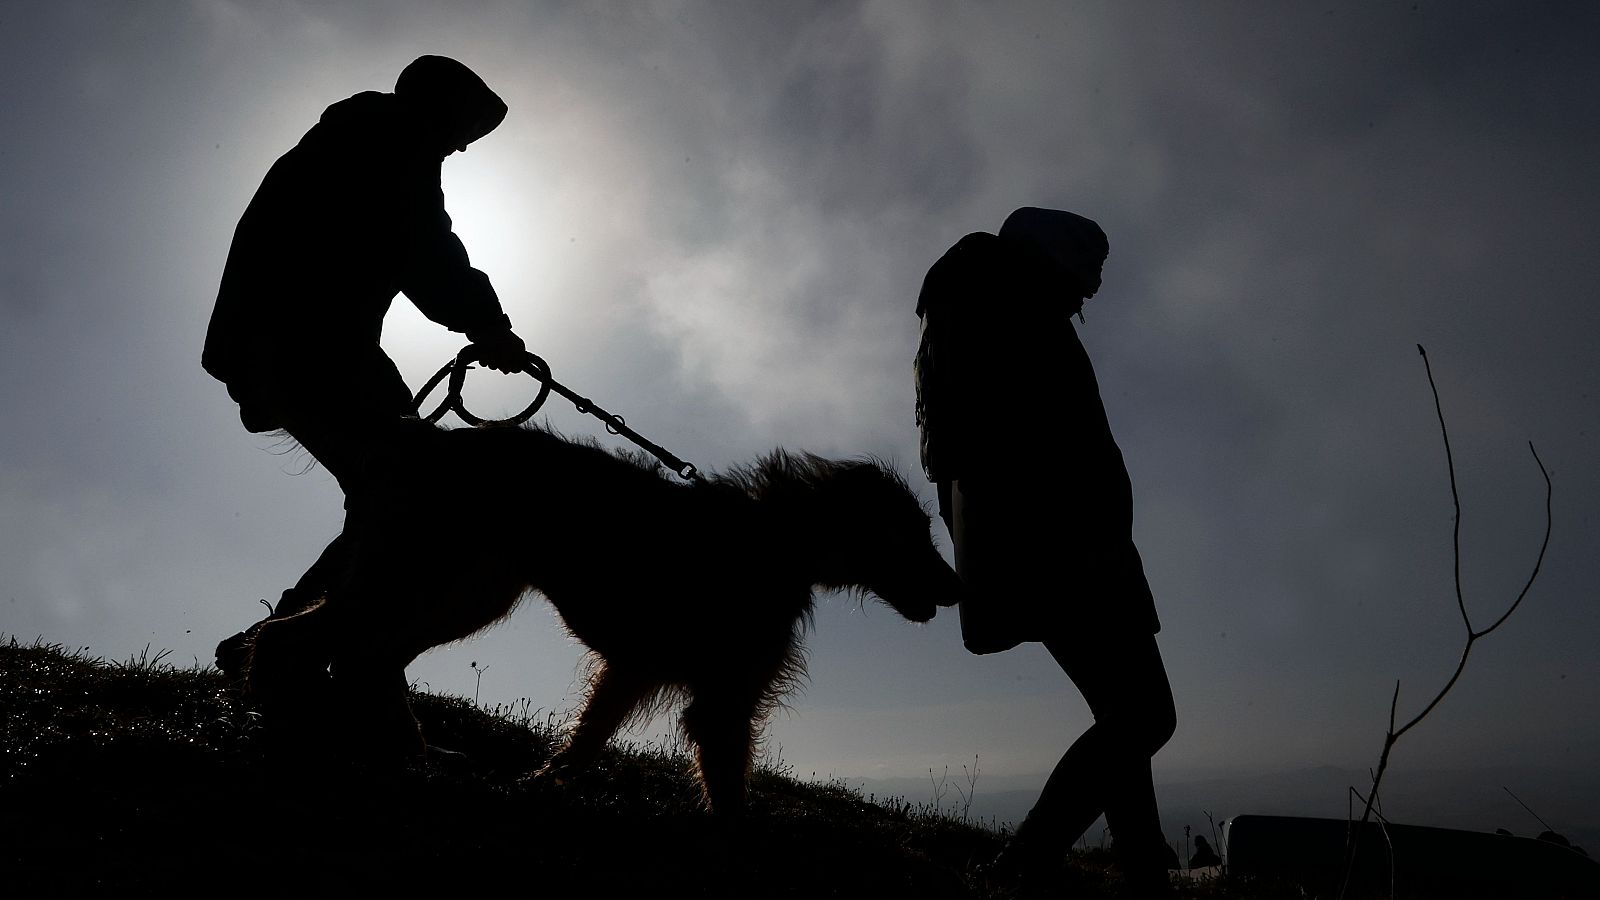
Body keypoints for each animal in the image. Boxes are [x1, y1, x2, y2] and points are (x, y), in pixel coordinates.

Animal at [243, 422, 953, 810]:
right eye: (916, 534)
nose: (958, 588)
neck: (778, 539)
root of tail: (427, 441)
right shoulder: (721, 701)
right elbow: (728, 794)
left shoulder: (633, 669)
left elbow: (587, 738)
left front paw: (540, 783)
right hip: (421, 577)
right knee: (291, 638)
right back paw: (279, 725)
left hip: (464, 593)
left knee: (365, 654)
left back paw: (402, 751)